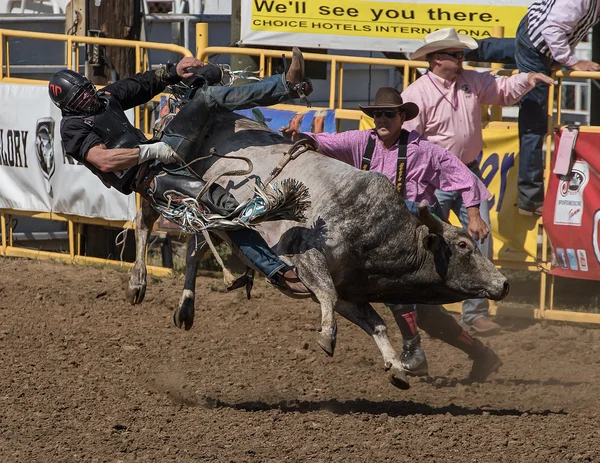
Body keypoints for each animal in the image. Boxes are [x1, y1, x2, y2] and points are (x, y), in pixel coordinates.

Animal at [124, 110, 508, 390]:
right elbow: (325, 293)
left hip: (202, 206)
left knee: (194, 243)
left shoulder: (350, 292)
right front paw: (327, 336)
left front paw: (396, 366)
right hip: (164, 182)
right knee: (145, 222)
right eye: (463, 245)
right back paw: (138, 283)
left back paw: (188, 306)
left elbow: (376, 323)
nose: (503, 284)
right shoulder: (303, 256)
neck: (373, 230)